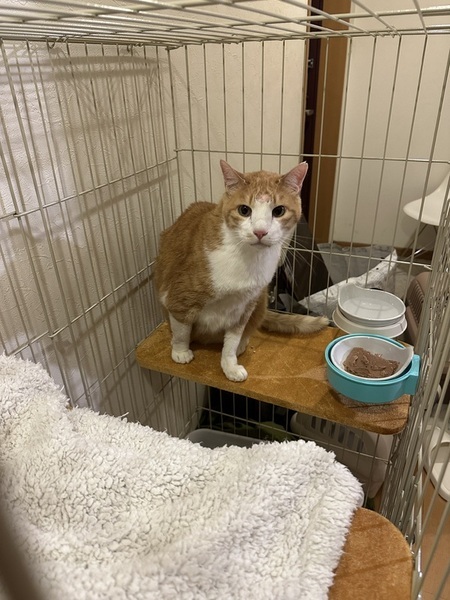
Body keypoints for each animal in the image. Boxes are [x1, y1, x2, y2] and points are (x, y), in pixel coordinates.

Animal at [155, 160, 328, 382]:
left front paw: (229, 365)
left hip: (260, 303)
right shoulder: (179, 299)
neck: (248, 259)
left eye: (278, 211)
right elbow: (181, 329)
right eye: (244, 210)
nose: (260, 232)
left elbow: (231, 341)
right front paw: (180, 351)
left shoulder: (244, 308)